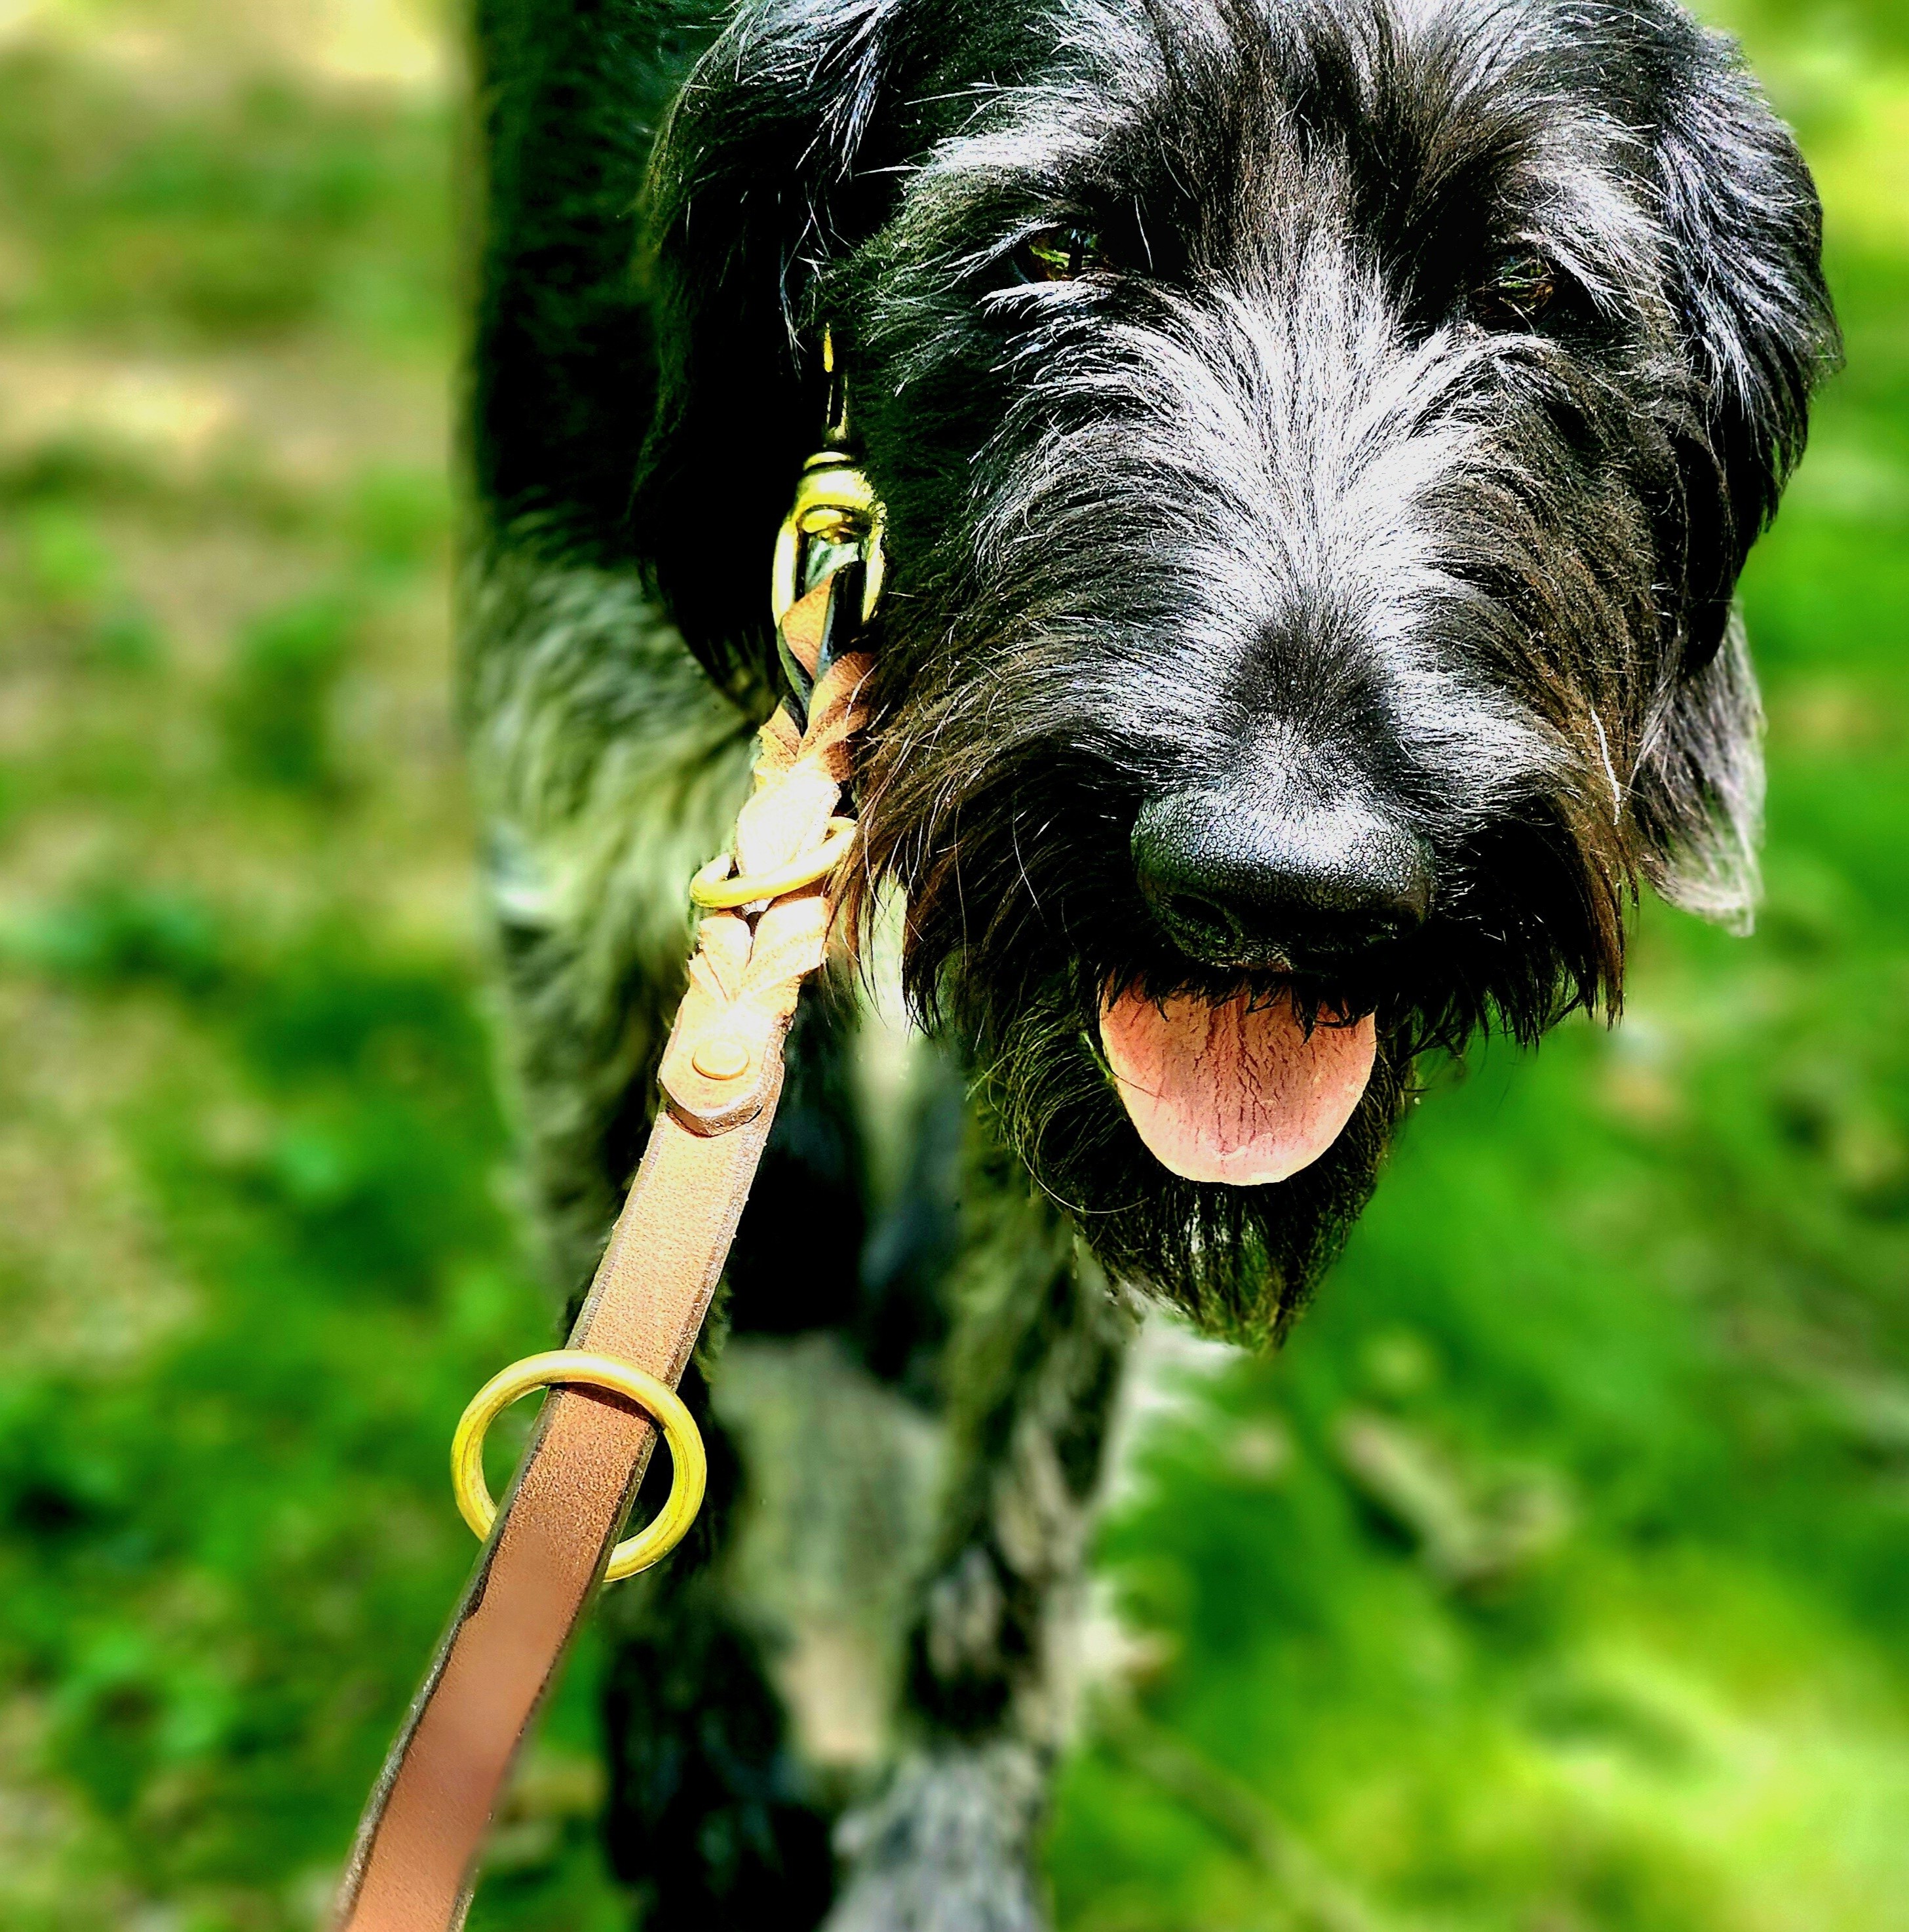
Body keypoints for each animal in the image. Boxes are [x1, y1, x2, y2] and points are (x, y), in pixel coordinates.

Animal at [459, 0, 1836, 1923]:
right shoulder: (596, 812)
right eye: (1051, 255)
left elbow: (1020, 1498)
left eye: (1527, 288)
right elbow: (630, 1356)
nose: (1285, 885)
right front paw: (702, 1761)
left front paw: (944, 1862)